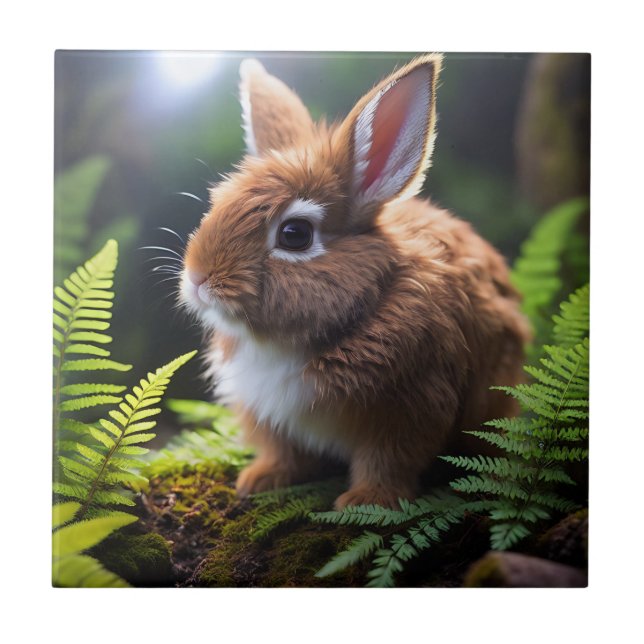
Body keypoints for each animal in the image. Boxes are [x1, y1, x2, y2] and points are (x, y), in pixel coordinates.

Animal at [180, 53, 532, 510]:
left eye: (294, 234)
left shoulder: (409, 406)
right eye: (218, 203)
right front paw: (258, 480)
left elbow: (389, 461)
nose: (197, 277)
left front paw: (365, 502)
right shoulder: (267, 413)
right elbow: (282, 452)